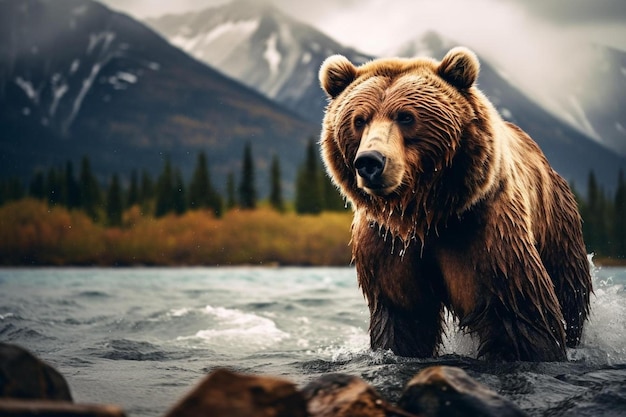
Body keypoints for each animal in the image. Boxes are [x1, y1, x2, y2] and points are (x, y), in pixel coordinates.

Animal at [316, 46, 588, 360]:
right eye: (359, 120)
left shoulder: (484, 230)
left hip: (557, 224)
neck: (422, 214)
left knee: (569, 290)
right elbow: (403, 319)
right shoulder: (387, 244)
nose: (370, 161)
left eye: (406, 117)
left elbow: (518, 314)